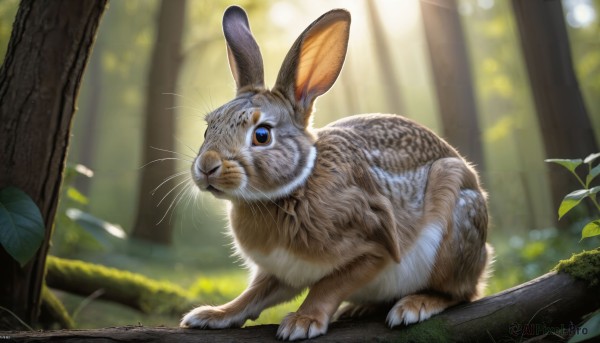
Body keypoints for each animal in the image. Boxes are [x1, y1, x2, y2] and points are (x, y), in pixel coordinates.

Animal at [182, 4, 492, 342]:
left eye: (262, 135)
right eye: (208, 128)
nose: (207, 167)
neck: (295, 187)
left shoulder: (373, 247)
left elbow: (327, 286)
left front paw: (302, 322)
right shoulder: (281, 270)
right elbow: (253, 295)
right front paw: (212, 315)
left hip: (454, 226)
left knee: (461, 293)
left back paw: (415, 305)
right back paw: (360, 309)